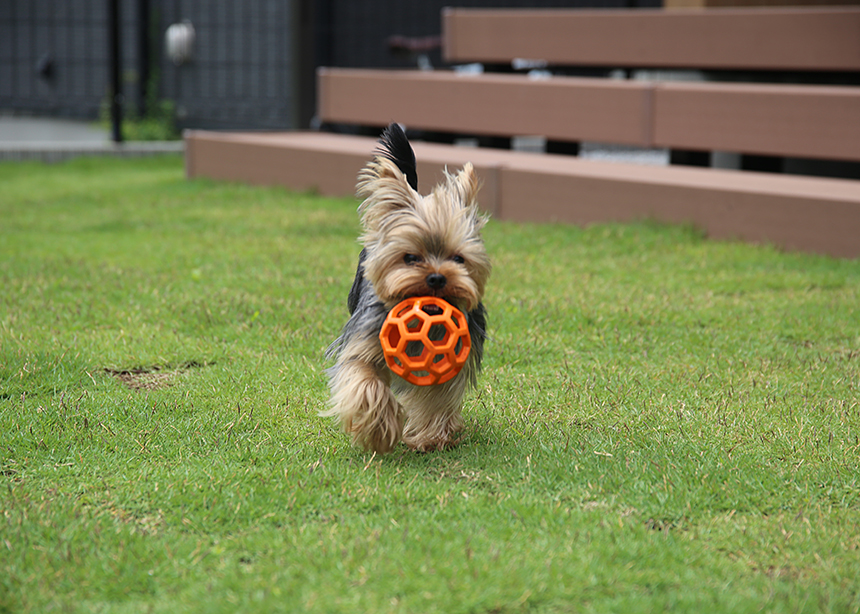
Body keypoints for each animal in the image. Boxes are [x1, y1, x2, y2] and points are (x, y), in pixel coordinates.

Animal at [322, 122, 490, 454]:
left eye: (458, 258)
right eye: (410, 258)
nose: (437, 278)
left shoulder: (450, 360)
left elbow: (438, 397)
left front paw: (431, 437)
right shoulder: (364, 342)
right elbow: (365, 382)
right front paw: (380, 431)